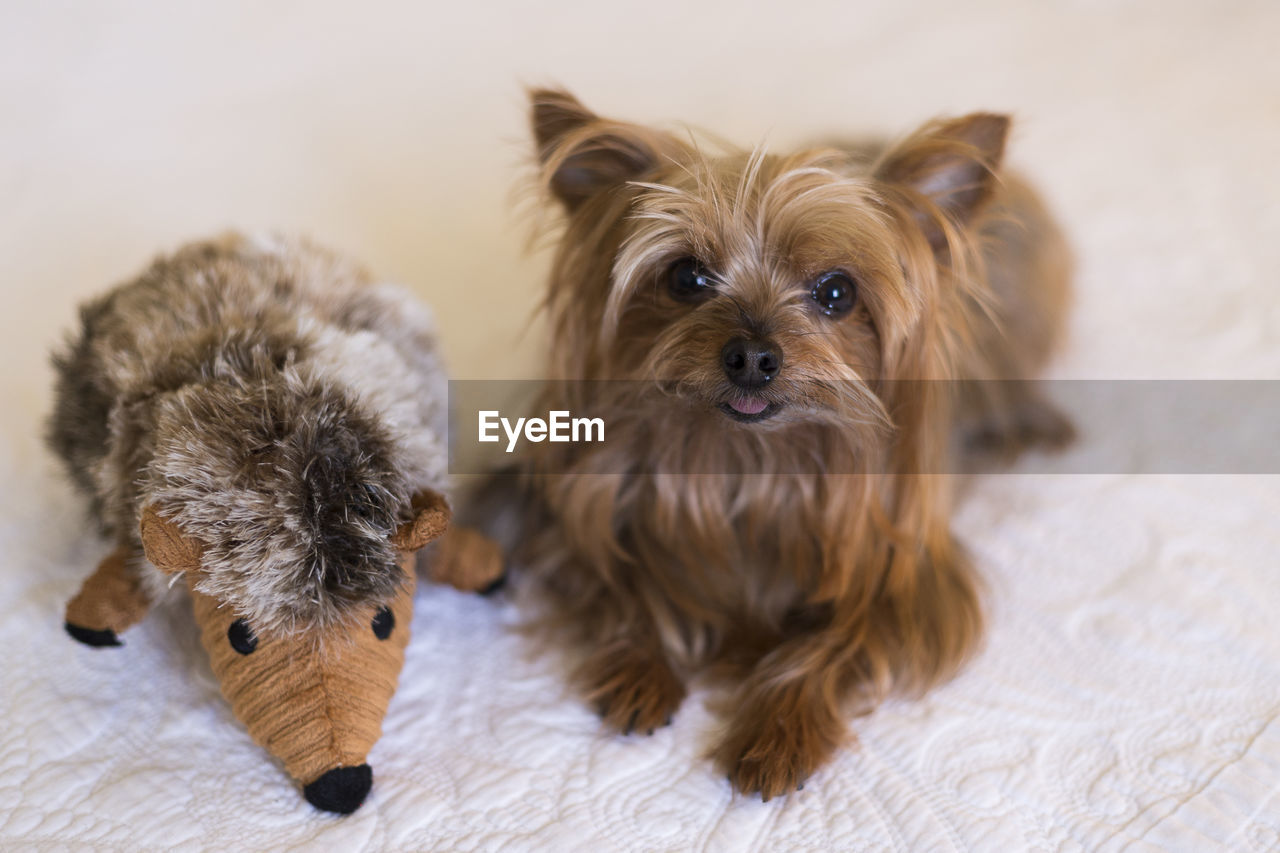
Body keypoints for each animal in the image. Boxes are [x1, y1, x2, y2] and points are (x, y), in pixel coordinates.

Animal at [499, 87, 1070, 799]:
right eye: (686, 277)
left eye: (837, 291)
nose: (751, 355)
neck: (753, 460)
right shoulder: (581, 524)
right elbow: (628, 589)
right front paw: (642, 672)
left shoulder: (913, 582)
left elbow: (830, 647)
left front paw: (780, 733)